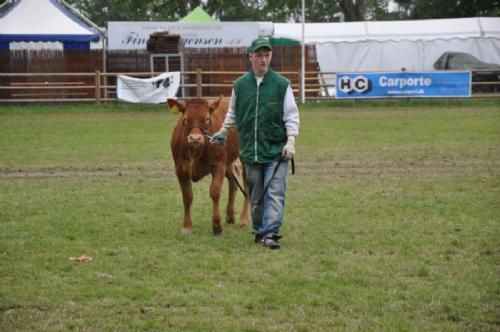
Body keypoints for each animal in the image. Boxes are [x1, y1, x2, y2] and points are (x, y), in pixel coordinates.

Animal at [169, 97, 249, 235]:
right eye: (185, 119)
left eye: (207, 118)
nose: (195, 138)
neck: (195, 152)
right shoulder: (180, 169)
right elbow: (187, 197)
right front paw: (187, 227)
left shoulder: (219, 165)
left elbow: (215, 192)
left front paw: (217, 225)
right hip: (228, 161)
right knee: (233, 183)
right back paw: (230, 215)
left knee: (247, 186)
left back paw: (244, 220)